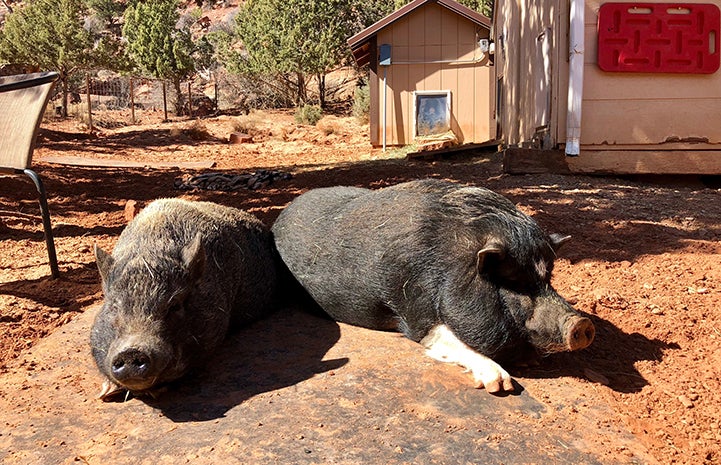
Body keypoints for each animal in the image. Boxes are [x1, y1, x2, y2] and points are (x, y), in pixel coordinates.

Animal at [272, 179, 592, 394]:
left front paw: (531, 362)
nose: (581, 324)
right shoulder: (413, 307)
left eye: (548, 277)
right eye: (514, 281)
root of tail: (279, 217)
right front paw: (500, 385)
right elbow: (444, 338)